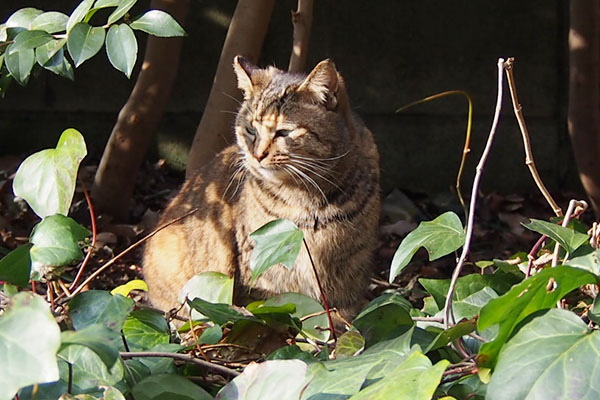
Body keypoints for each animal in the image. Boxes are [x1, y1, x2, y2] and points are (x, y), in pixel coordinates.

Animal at [142, 55, 380, 322]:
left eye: (284, 132)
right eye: (251, 129)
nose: (257, 155)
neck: (307, 197)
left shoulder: (350, 268)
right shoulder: (262, 264)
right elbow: (271, 304)